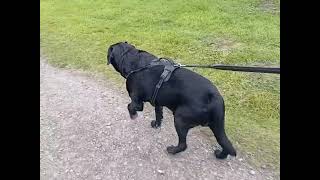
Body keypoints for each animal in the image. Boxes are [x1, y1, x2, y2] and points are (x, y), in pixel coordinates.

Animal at [106, 41, 236, 158]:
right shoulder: (158, 102)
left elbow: (130, 106)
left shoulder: (137, 101)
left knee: (183, 145)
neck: (131, 59)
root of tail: (216, 99)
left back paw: (172, 150)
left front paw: (133, 115)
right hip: (216, 126)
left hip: (180, 118)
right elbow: (158, 114)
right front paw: (156, 124)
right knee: (226, 143)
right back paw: (221, 155)